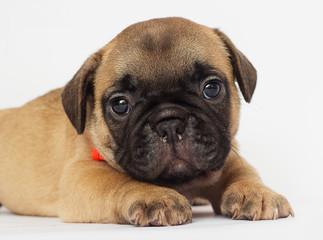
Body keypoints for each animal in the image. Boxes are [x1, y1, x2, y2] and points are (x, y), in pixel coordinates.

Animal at [0, 16, 294, 225]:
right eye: (120, 105)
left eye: (211, 88)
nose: (170, 123)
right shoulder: (82, 174)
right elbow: (120, 180)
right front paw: (155, 196)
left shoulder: (228, 154)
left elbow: (244, 171)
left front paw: (256, 192)